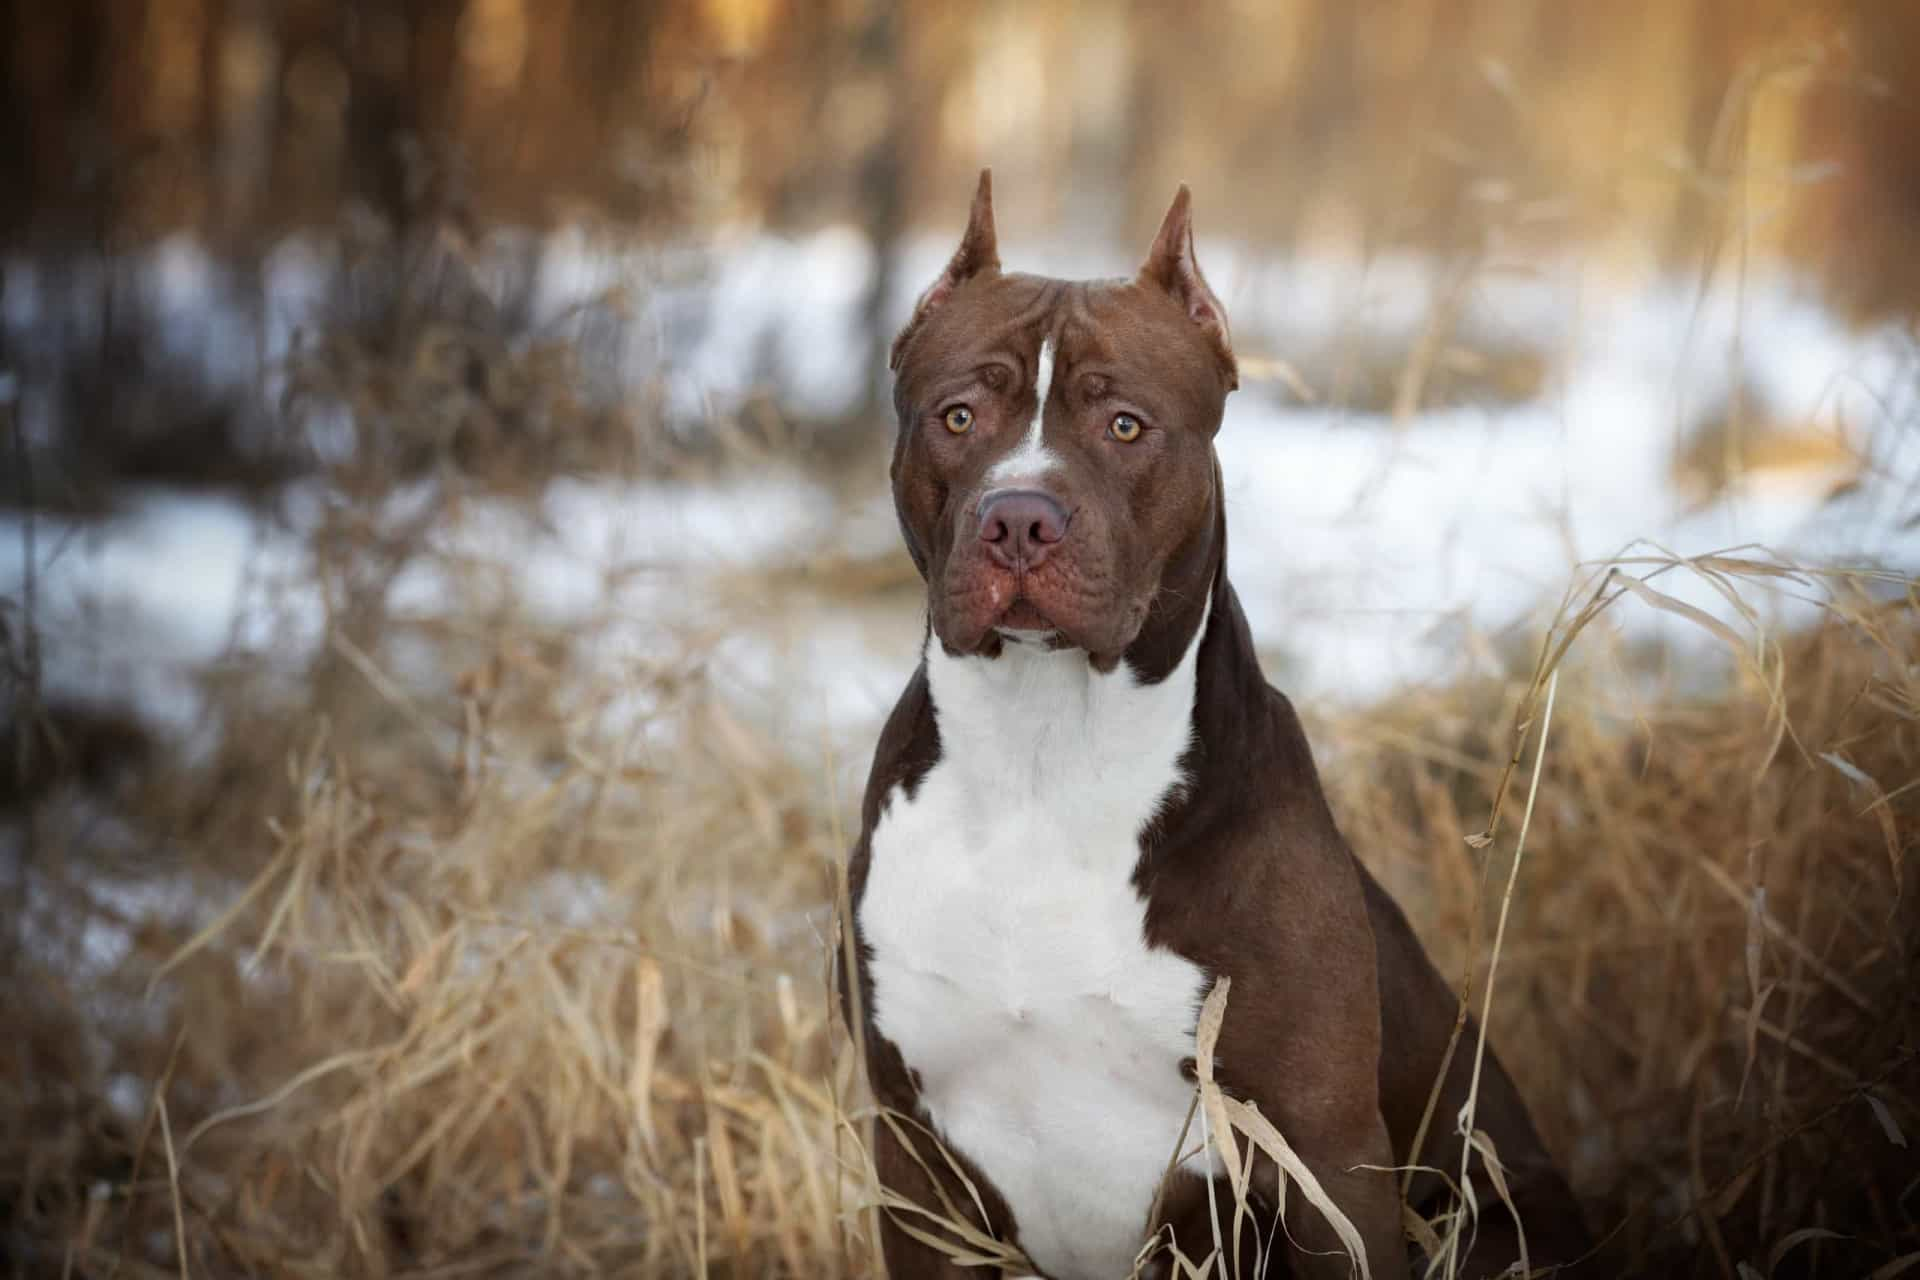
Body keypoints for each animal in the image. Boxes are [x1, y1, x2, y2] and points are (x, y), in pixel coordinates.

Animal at [840, 172, 1589, 1280]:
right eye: (958, 415)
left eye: (1125, 426)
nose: (1018, 518)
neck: (1043, 755)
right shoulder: (915, 1161)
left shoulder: (1321, 1159)